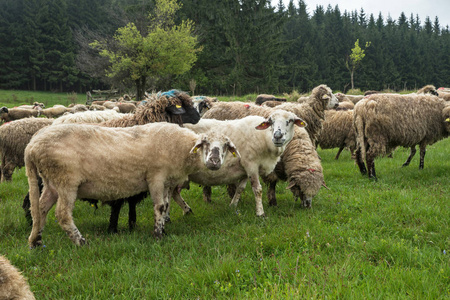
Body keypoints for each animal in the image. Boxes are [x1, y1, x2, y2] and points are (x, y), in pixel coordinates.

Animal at [25, 122, 237, 246]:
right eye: (205, 144)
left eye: (226, 147)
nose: (214, 162)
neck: (182, 148)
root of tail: (32, 146)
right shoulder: (156, 176)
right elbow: (160, 207)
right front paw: (157, 236)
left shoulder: (167, 182)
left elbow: (166, 205)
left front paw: (163, 229)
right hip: (65, 180)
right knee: (62, 214)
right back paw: (81, 242)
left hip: (51, 182)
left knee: (40, 209)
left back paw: (36, 241)